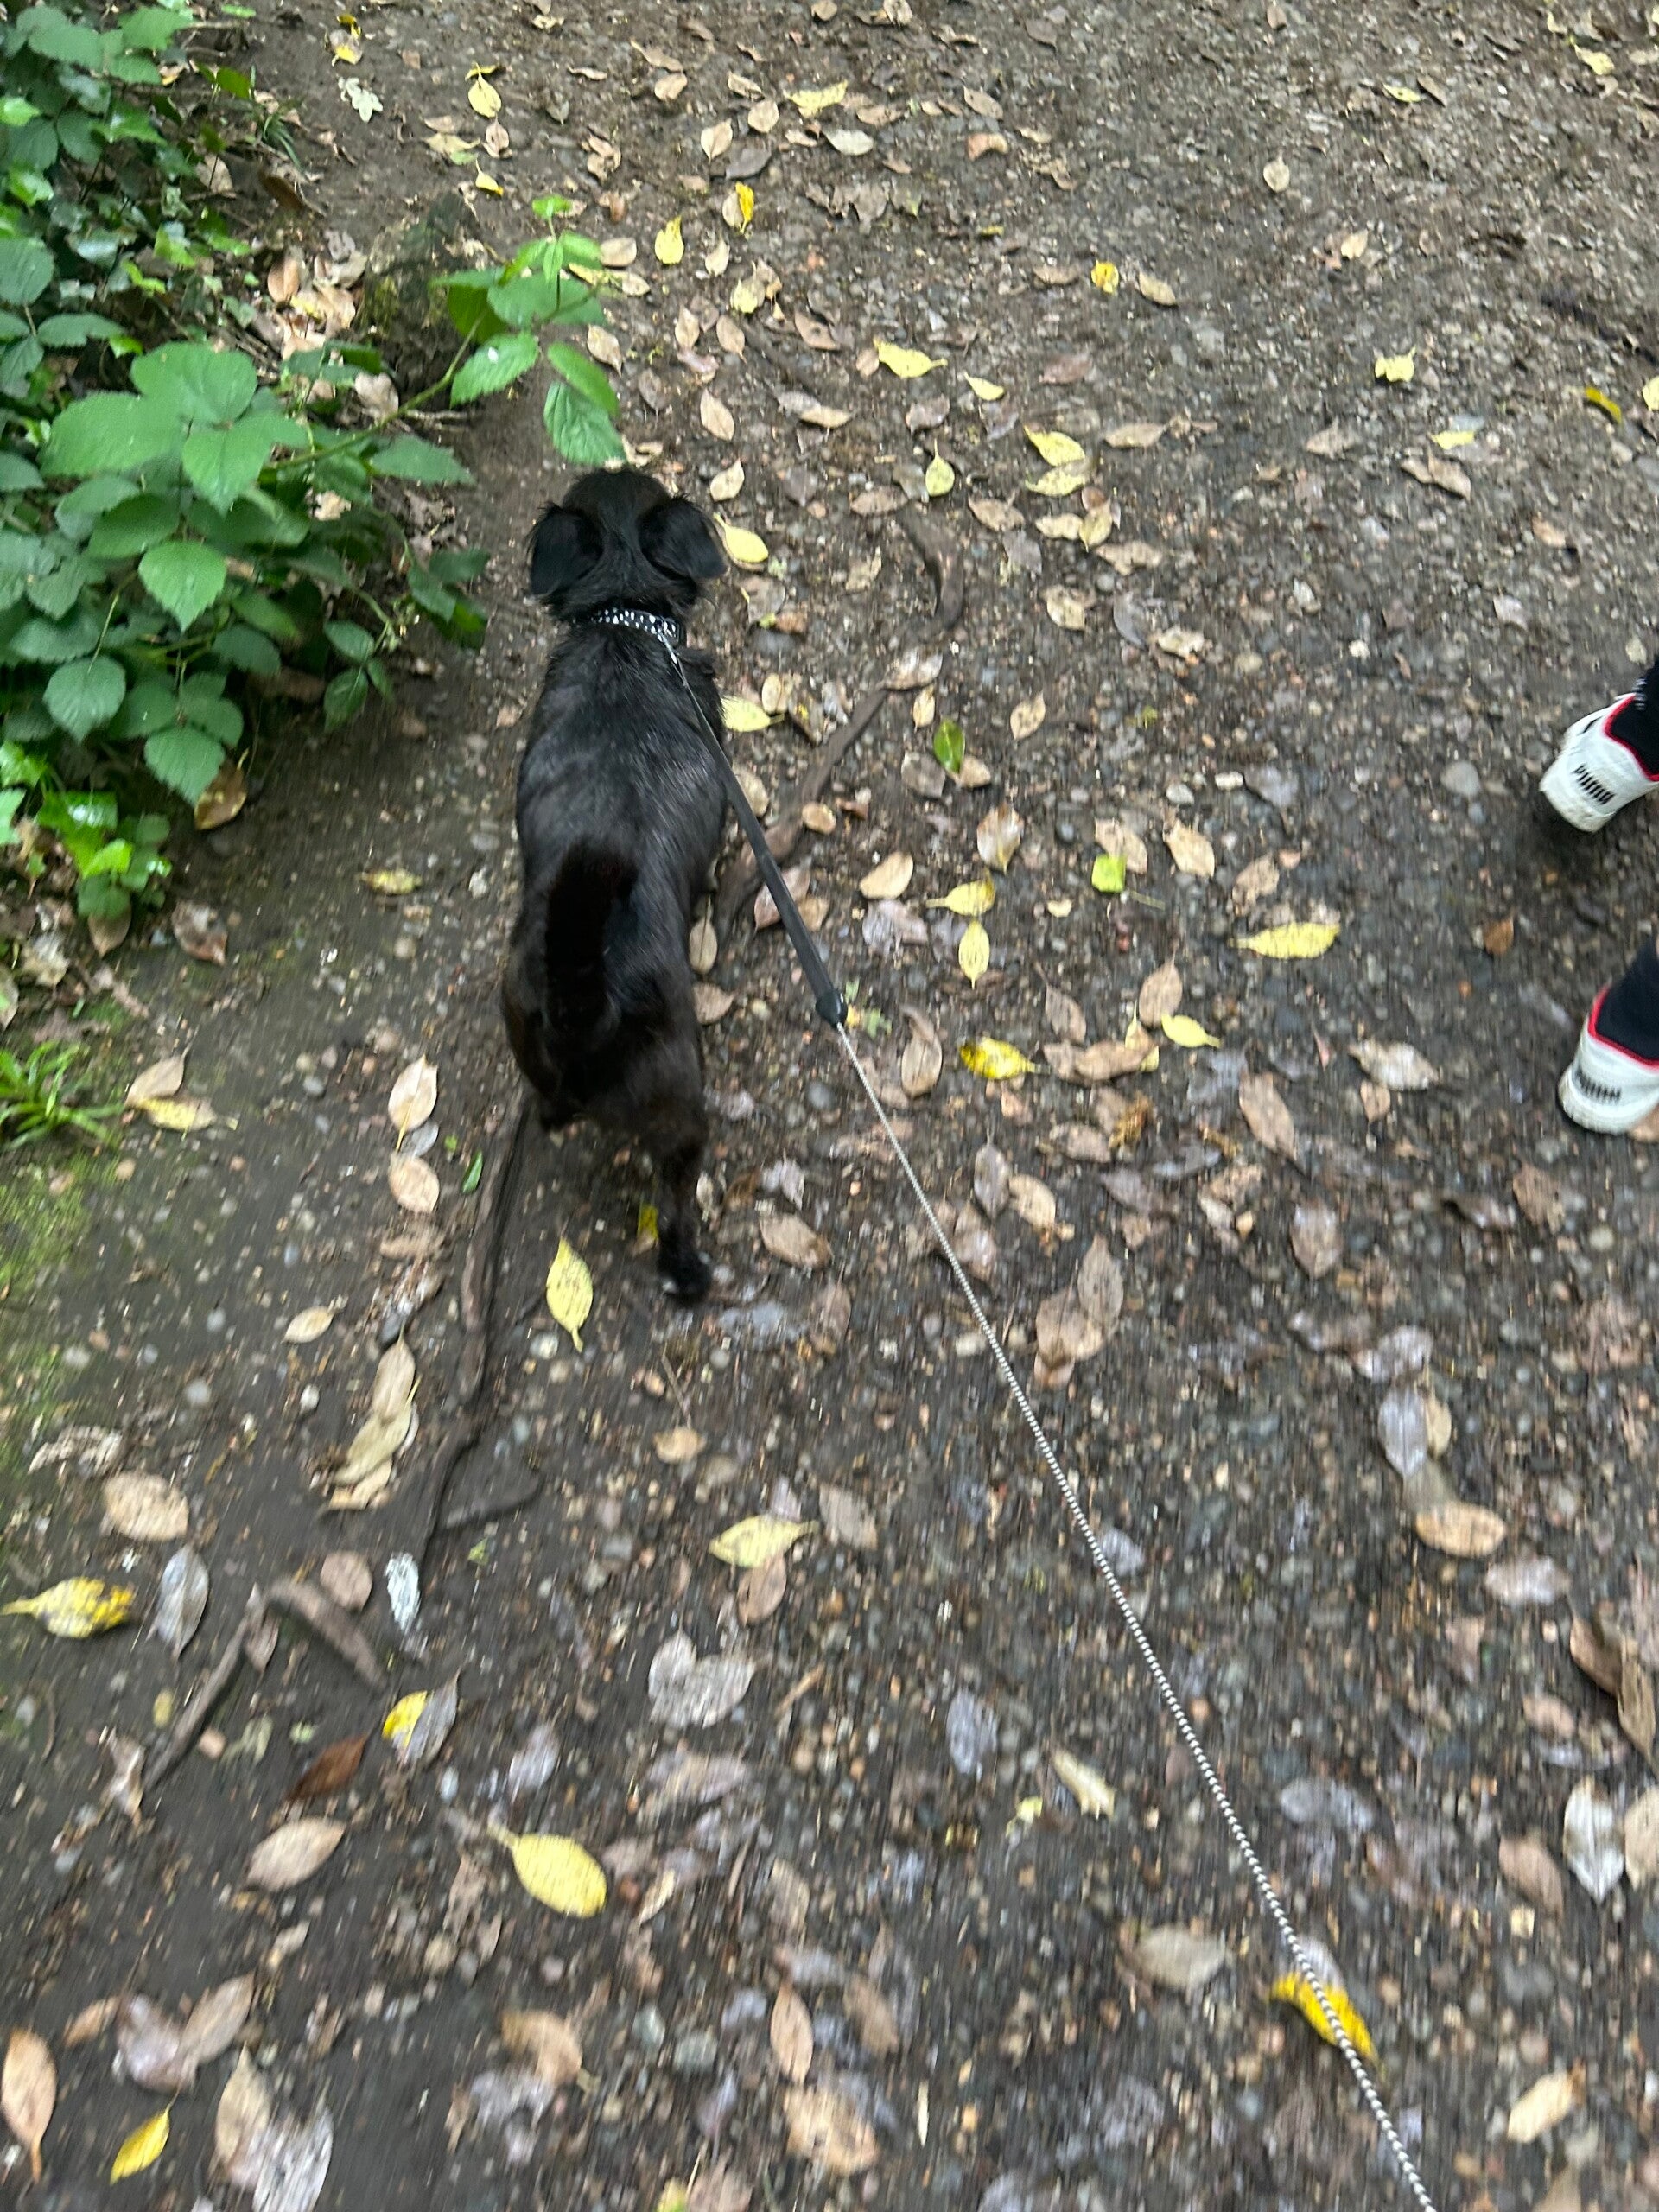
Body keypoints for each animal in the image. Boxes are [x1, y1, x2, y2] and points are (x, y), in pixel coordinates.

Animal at [502, 468, 729, 1301]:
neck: (623, 626)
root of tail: (583, 1001)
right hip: (681, 1116)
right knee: (676, 1209)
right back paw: (689, 1274)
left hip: (530, 1041)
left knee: (551, 1108)